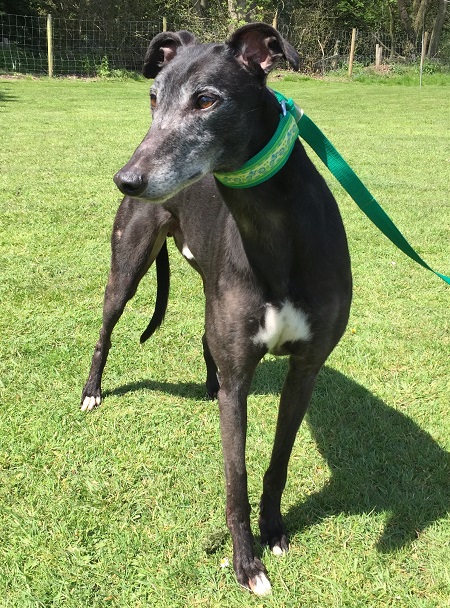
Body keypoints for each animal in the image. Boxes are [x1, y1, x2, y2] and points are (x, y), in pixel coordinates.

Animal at [81, 23, 352, 595]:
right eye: (153, 97)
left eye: (206, 100)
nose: (126, 180)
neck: (275, 232)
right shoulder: (242, 379)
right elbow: (236, 478)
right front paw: (246, 563)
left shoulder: (306, 368)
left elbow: (277, 461)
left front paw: (274, 530)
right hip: (127, 268)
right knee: (105, 331)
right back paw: (92, 391)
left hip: (206, 278)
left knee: (206, 340)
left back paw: (208, 383)